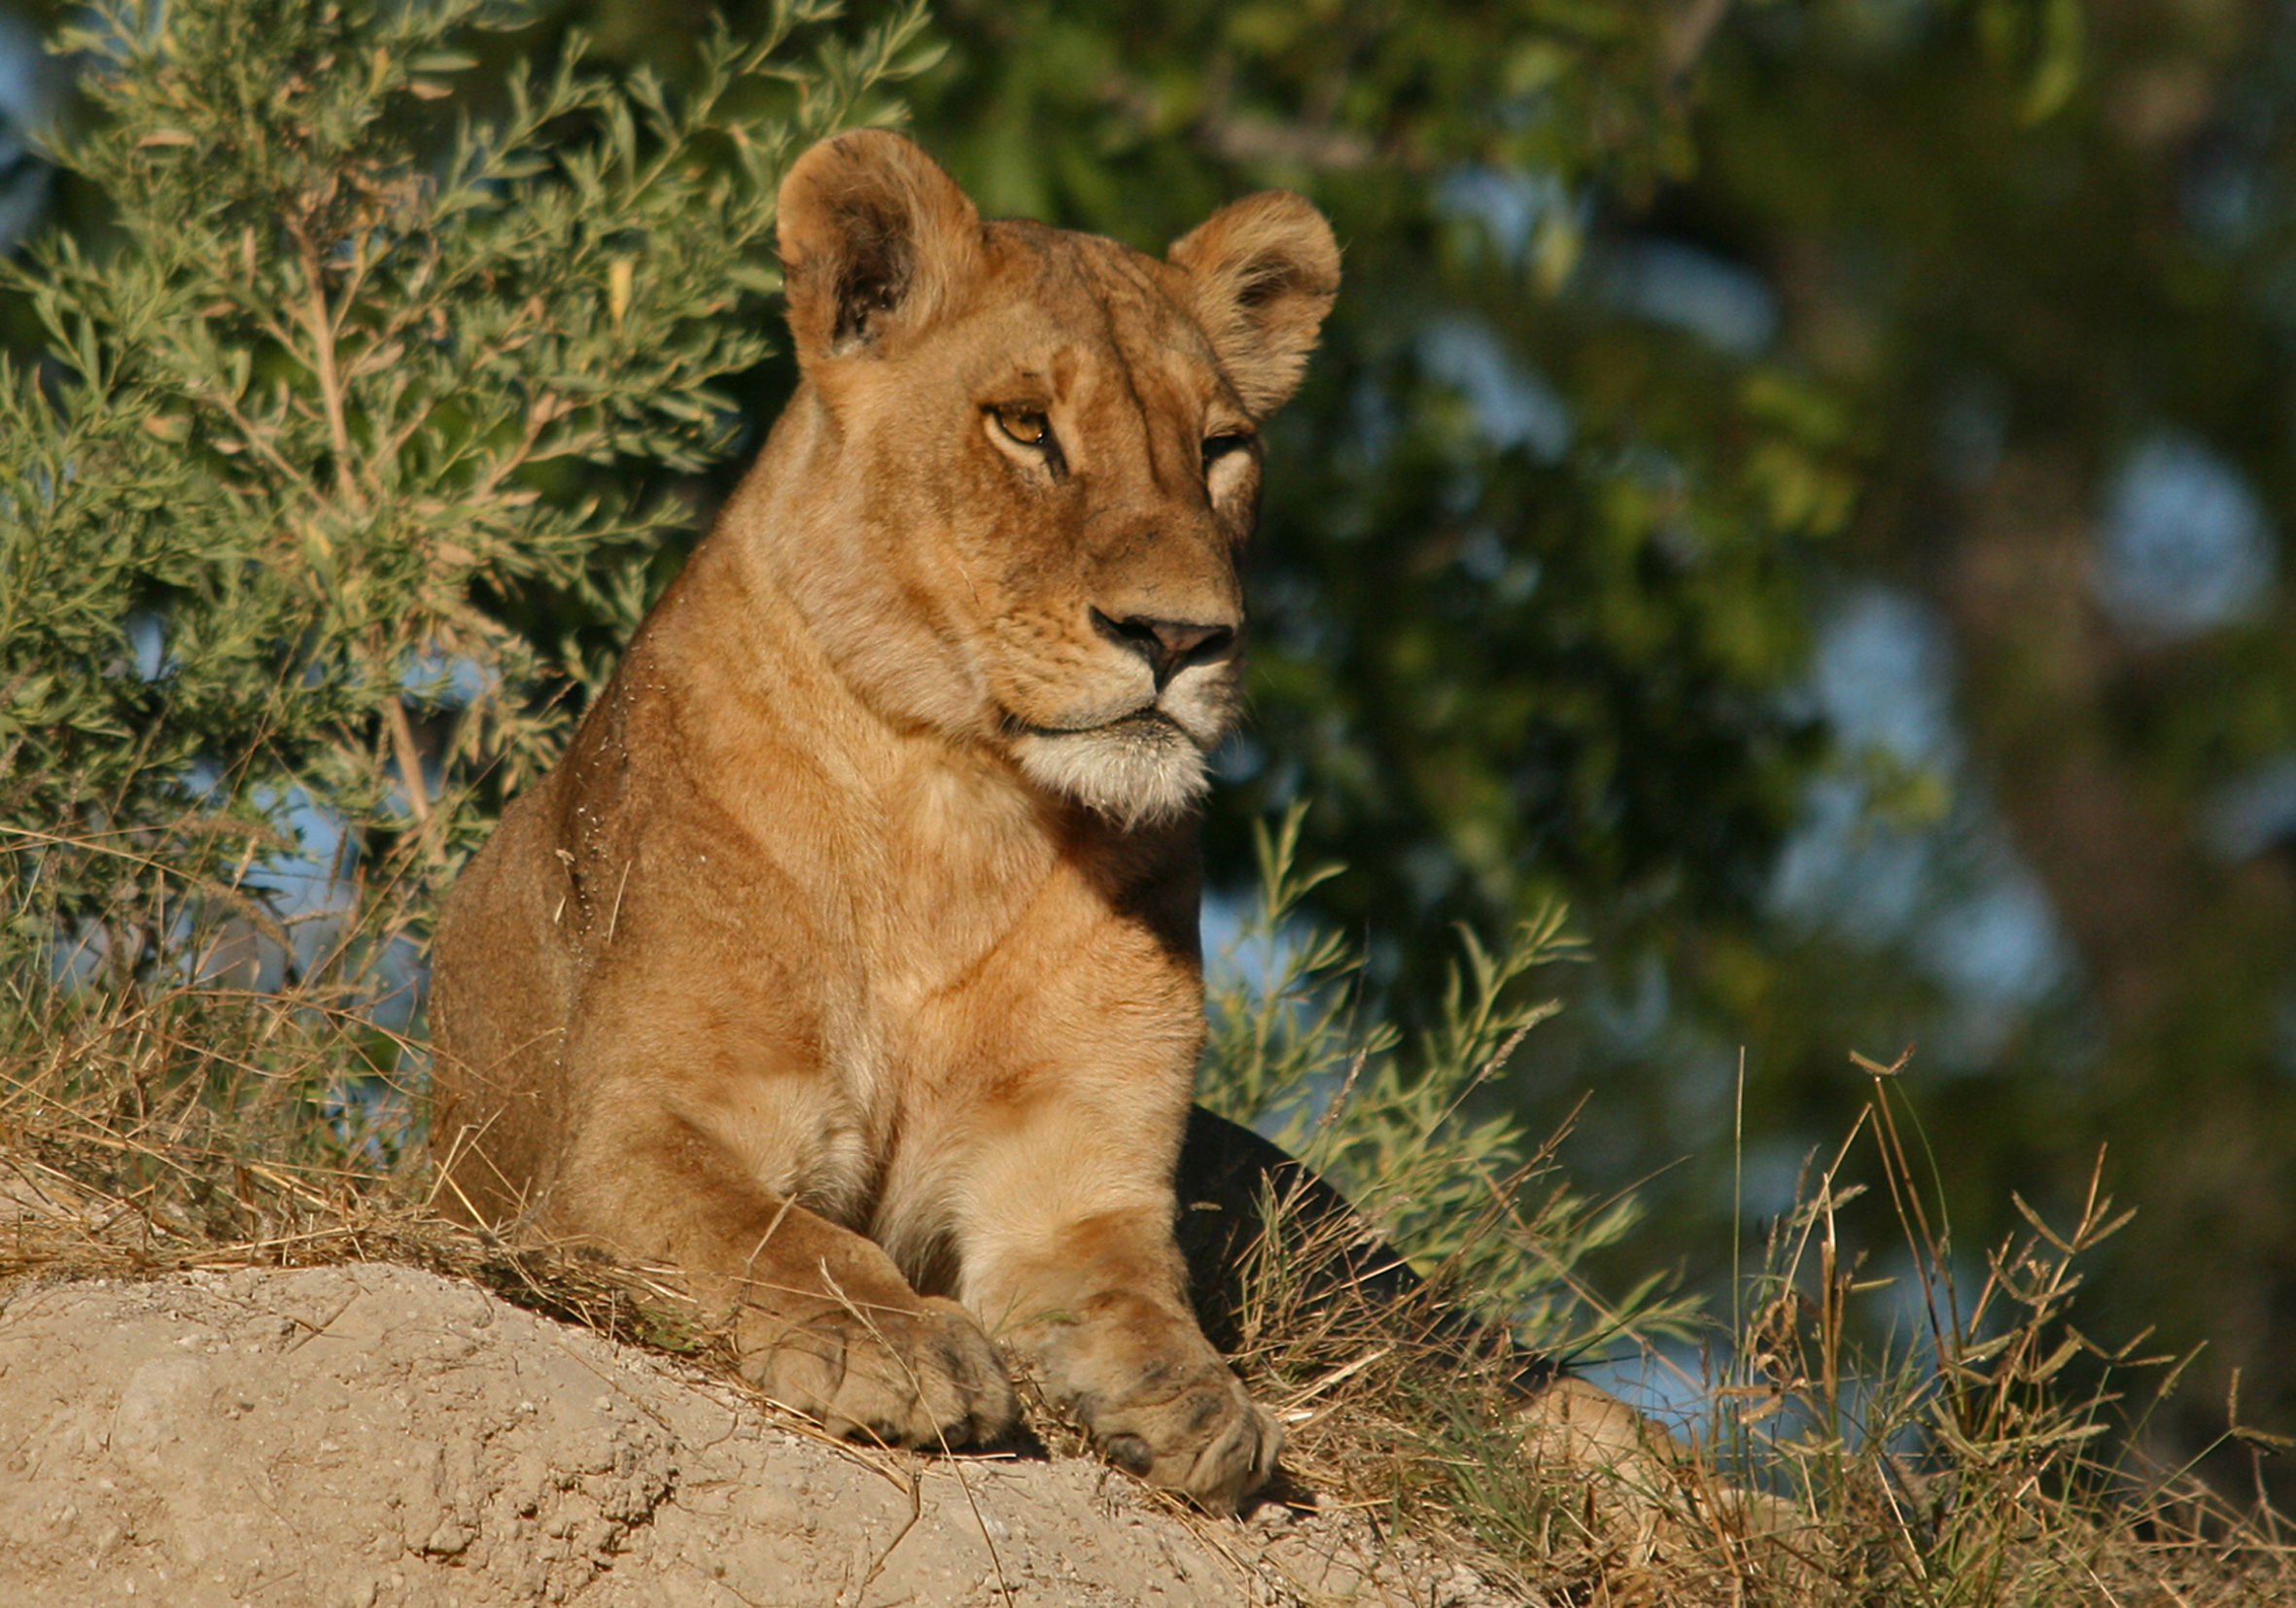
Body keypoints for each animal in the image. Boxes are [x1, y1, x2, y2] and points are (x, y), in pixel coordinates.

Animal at [428, 128, 1338, 1512]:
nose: (1184, 637)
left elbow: (1137, 1295)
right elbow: (775, 1236)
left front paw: (1197, 1406)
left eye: (1222, 447)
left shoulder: (1076, 1185)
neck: (958, 807)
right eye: (1025, 427)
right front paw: (899, 1344)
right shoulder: (621, 1144)